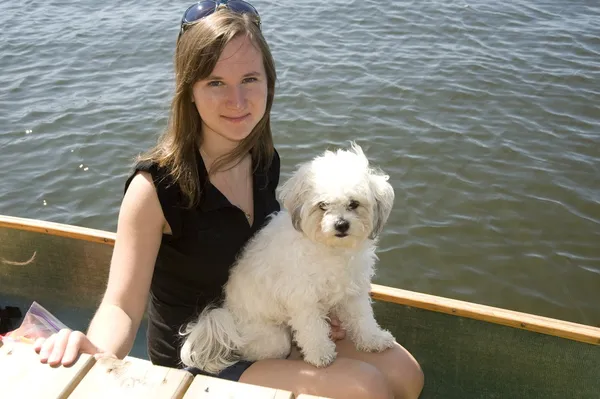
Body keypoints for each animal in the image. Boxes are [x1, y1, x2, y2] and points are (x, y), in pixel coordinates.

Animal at [183, 143, 398, 376]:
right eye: (323, 205)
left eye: (354, 204)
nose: (341, 225)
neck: (331, 249)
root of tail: (229, 320)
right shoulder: (303, 297)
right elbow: (312, 329)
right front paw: (320, 354)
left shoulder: (353, 289)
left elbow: (363, 317)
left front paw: (374, 339)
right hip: (272, 339)